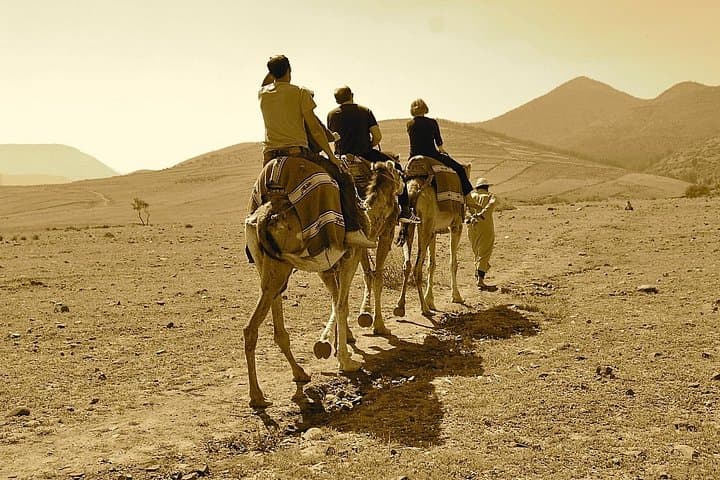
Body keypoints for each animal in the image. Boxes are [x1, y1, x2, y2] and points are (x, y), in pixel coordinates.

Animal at [244, 159, 402, 408]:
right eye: (397, 172)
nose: (403, 188)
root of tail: (260, 220)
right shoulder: (350, 256)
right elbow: (342, 304)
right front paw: (347, 361)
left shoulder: (326, 266)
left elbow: (336, 300)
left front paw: (338, 345)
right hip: (279, 268)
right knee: (250, 328)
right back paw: (257, 396)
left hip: (268, 266)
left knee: (276, 326)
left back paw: (299, 373)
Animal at [394, 159, 469, 317]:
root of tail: (414, 190)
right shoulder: (456, 226)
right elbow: (453, 263)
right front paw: (457, 296)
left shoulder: (434, 230)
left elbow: (431, 264)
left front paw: (431, 300)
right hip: (425, 225)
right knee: (417, 268)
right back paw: (424, 309)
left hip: (410, 224)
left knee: (407, 265)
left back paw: (400, 306)